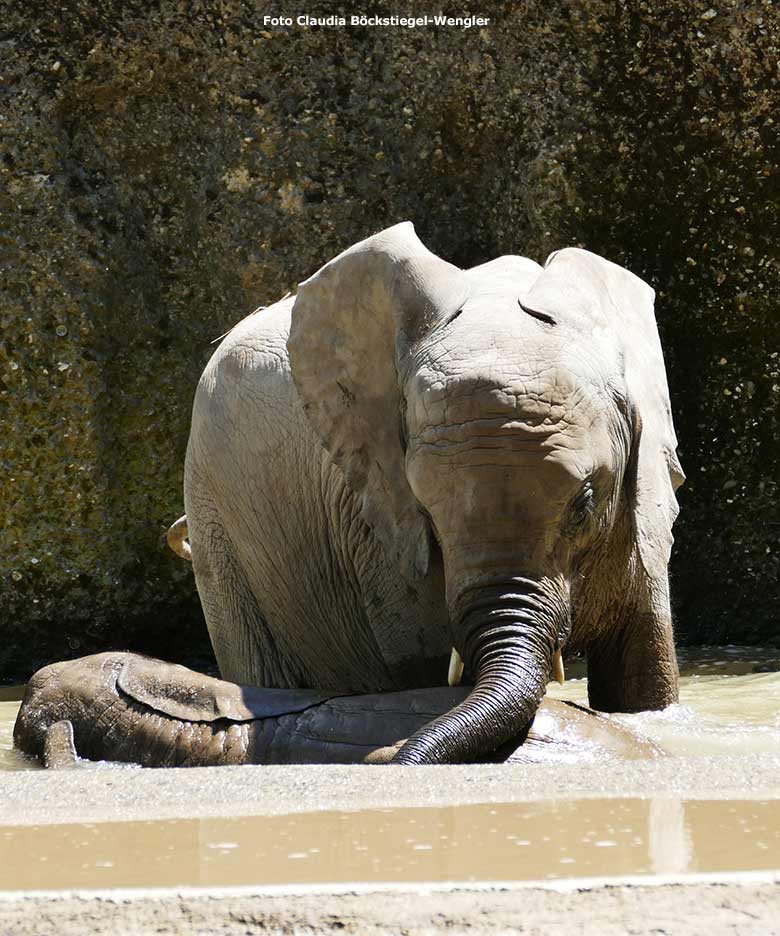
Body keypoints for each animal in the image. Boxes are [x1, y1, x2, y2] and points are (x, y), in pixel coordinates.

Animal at [172, 223, 684, 764]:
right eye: (427, 508)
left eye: (585, 503)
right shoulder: (378, 529)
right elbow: (423, 680)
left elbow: (644, 679)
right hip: (213, 516)